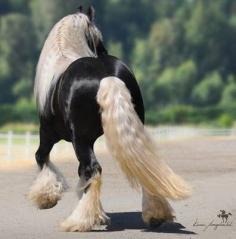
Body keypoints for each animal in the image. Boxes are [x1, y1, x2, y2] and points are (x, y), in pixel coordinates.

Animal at [28, 7, 191, 232]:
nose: (103, 50)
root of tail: (108, 77)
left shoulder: (48, 134)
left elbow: (42, 157)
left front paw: (47, 197)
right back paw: (155, 215)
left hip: (79, 140)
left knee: (92, 168)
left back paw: (79, 222)